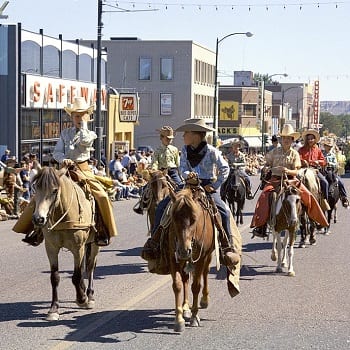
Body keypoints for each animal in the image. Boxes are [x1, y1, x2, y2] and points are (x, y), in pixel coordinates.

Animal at [30, 166, 99, 320]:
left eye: (55, 190)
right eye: (36, 187)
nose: (39, 219)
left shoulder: (78, 248)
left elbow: (76, 276)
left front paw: (82, 299)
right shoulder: (51, 248)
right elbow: (54, 277)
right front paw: (53, 309)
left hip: (94, 245)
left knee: (90, 266)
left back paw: (90, 296)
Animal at [167, 187, 216, 332]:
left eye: (194, 219)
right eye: (174, 218)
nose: (184, 250)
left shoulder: (201, 258)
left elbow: (196, 286)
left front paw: (194, 317)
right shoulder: (173, 257)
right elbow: (177, 285)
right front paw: (179, 320)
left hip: (207, 256)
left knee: (205, 273)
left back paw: (204, 300)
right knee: (185, 279)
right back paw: (185, 307)